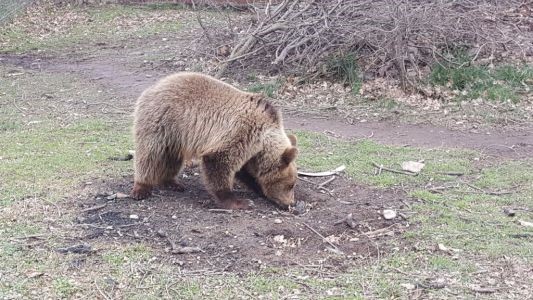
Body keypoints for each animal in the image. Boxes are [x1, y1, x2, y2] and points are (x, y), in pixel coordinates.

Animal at [127, 72, 298, 210]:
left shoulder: (249, 149)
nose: (291, 204)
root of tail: (153, 87)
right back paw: (141, 188)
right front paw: (240, 201)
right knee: (149, 154)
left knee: (171, 158)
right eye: (291, 185)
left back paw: (172, 182)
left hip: (176, 136)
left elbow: (245, 171)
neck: (263, 139)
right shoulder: (241, 132)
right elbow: (219, 162)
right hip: (161, 122)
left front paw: (258, 188)